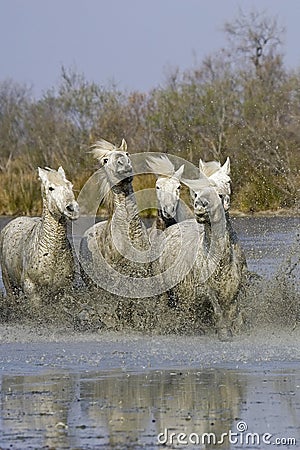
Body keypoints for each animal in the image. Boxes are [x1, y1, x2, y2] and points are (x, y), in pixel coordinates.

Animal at [0, 167, 79, 308]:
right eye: (50, 188)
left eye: (70, 185)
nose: (72, 209)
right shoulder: (32, 291)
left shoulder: (64, 291)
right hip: (9, 284)